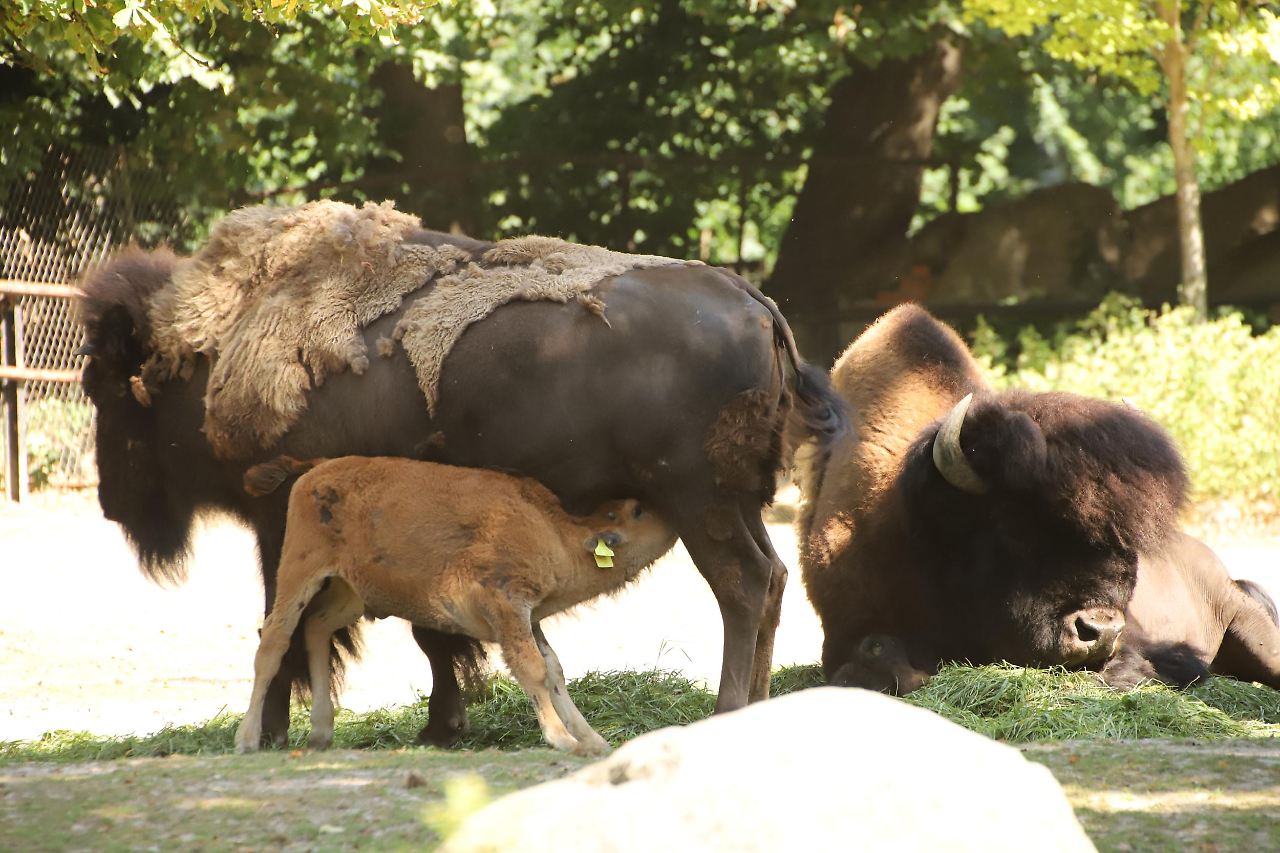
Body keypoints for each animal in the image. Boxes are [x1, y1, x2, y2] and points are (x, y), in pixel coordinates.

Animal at [240, 455, 680, 753]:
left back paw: (320, 732)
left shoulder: (528, 618)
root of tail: (316, 470)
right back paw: (247, 738)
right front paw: (561, 738)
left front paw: (592, 739)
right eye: (637, 510)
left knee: (317, 626)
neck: (555, 531)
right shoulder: (507, 606)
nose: (671, 517)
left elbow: (553, 670)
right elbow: (534, 670)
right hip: (300, 570)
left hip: (350, 590)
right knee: (274, 641)